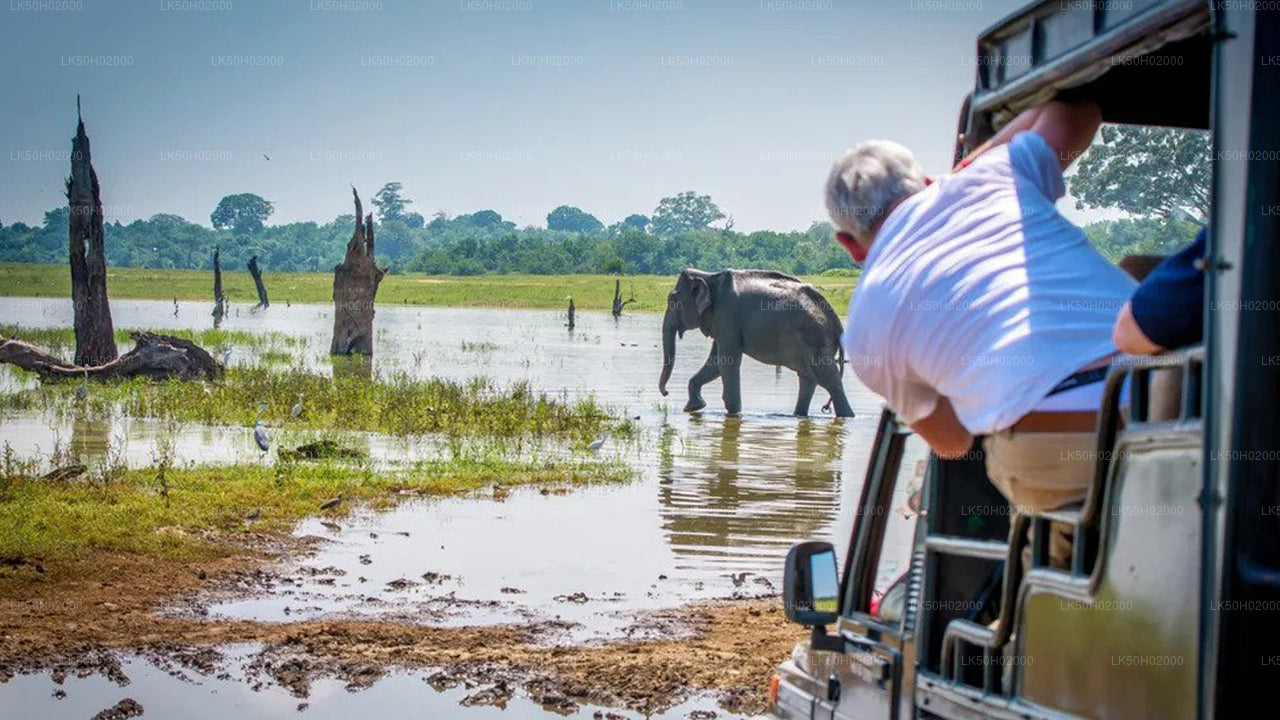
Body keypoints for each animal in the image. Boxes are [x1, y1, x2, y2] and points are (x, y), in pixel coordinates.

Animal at [655, 267, 855, 415]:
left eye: (671, 299)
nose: (665, 393)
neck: (709, 276)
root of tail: (836, 323)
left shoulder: (727, 316)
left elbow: (727, 362)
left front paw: (734, 413)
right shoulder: (720, 322)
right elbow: (716, 363)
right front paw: (693, 408)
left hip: (815, 340)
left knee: (830, 379)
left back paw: (847, 416)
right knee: (808, 379)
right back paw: (799, 415)